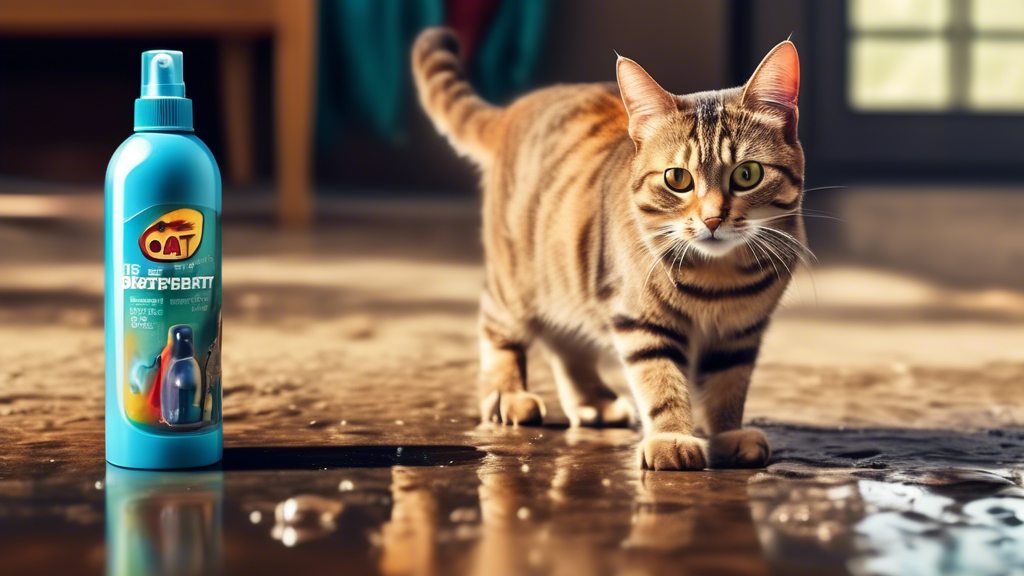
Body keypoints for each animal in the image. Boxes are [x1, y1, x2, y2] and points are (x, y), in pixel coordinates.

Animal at [411, 26, 802, 469]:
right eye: (677, 179)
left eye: (747, 174)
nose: (713, 219)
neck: (717, 277)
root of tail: (516, 109)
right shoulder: (642, 320)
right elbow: (661, 381)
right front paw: (671, 437)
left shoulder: (740, 333)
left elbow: (727, 387)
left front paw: (727, 434)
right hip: (518, 281)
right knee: (499, 330)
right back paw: (509, 394)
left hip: (570, 280)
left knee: (566, 343)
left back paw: (593, 402)